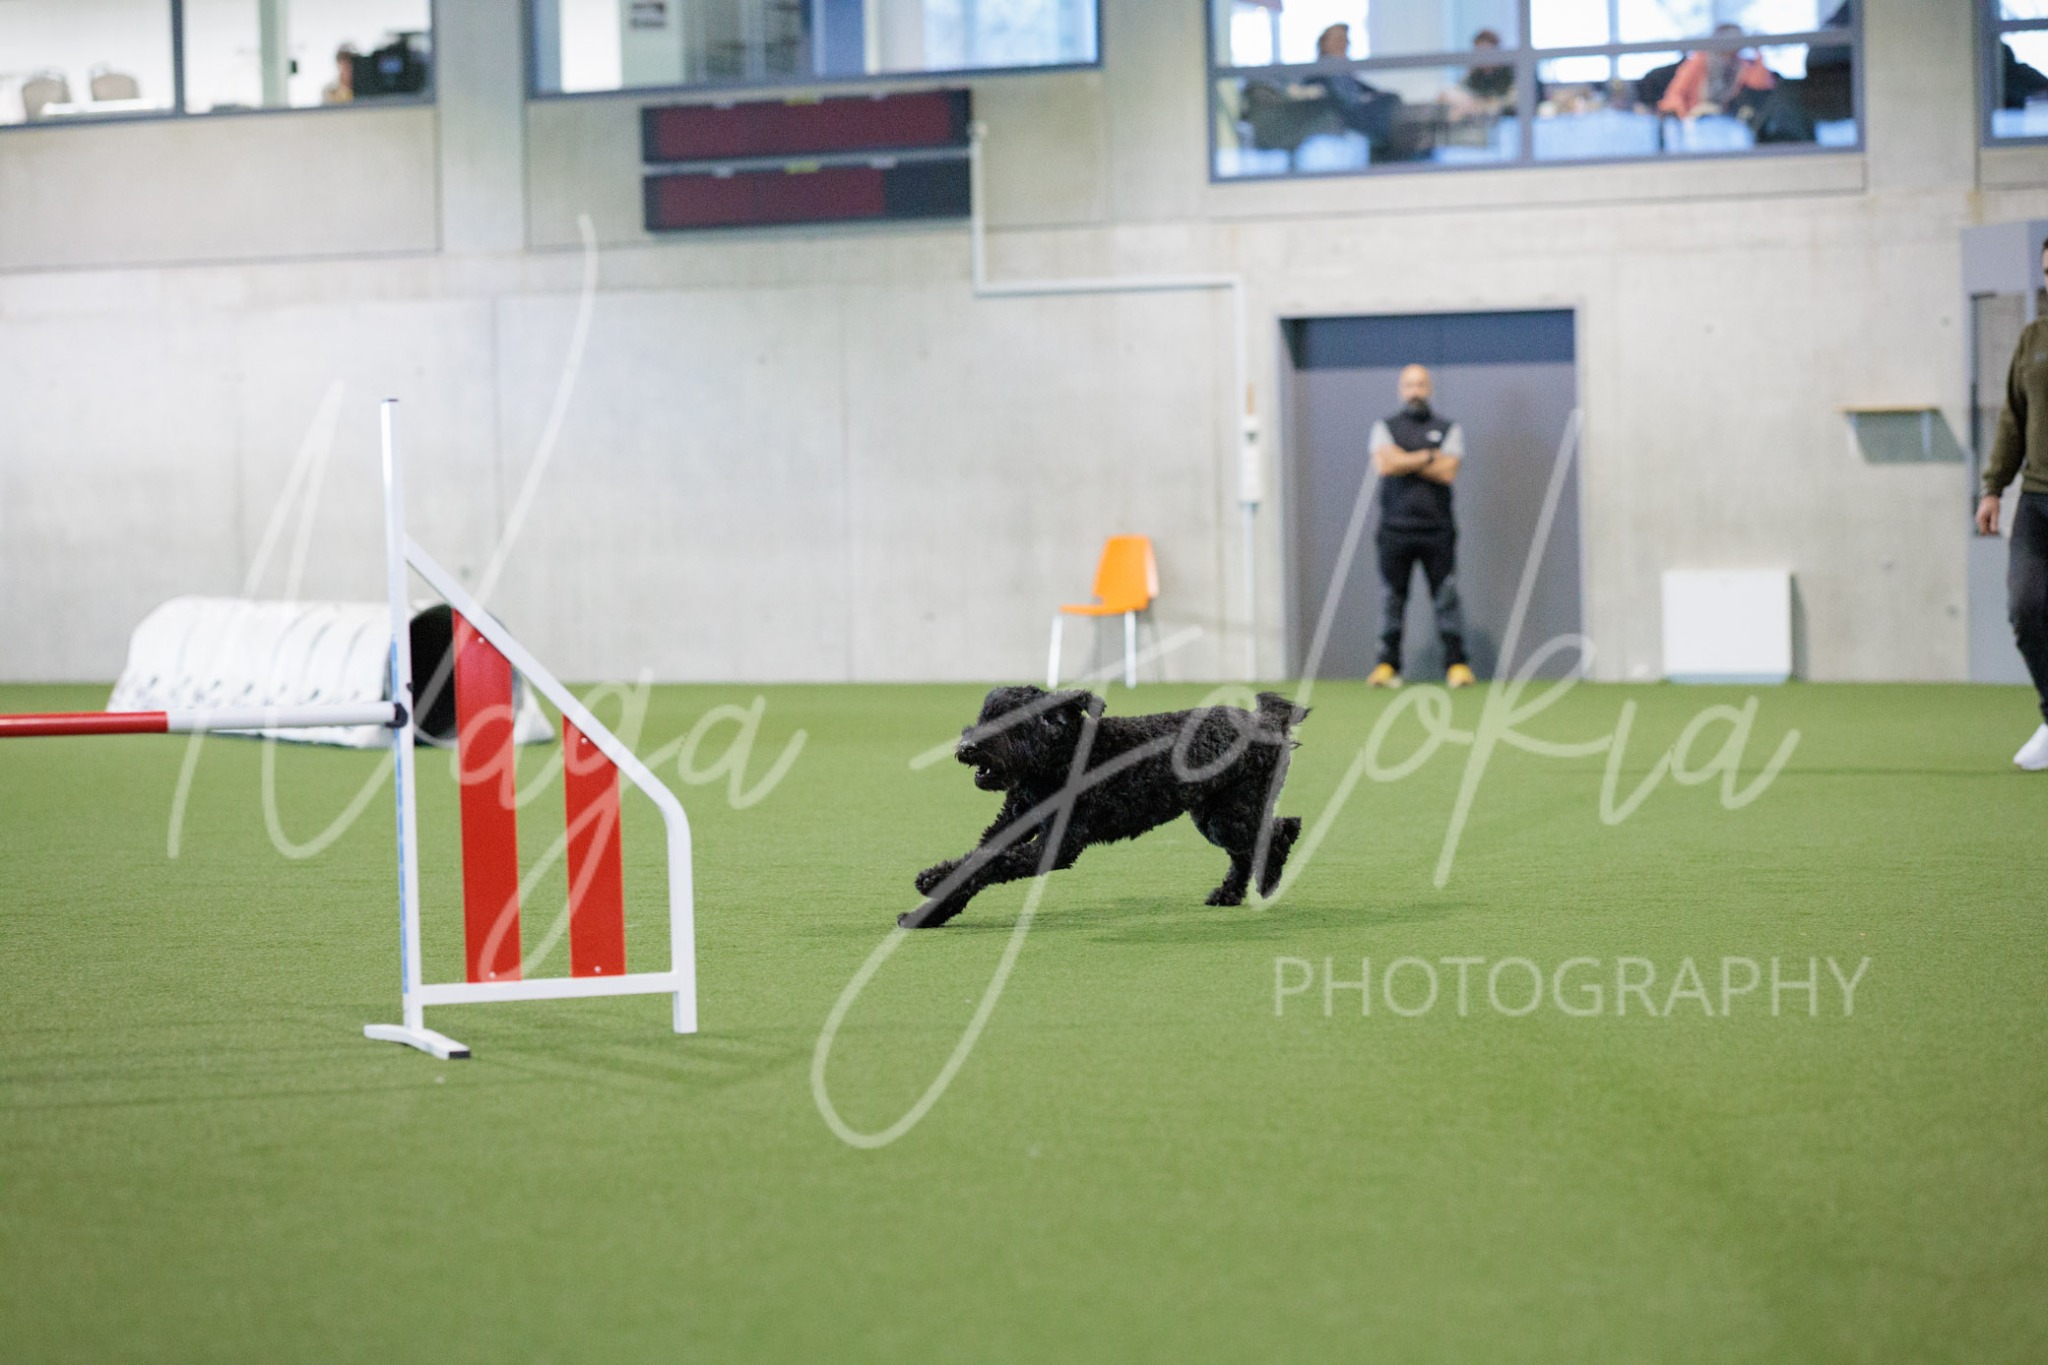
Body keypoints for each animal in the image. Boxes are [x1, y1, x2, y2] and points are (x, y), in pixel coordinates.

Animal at [903, 685, 1307, 927]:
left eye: (1013, 722)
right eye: (984, 715)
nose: (968, 747)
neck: (1061, 760)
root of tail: (1266, 721)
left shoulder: (1055, 846)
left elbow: (991, 864)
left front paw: (930, 894)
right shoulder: (1012, 822)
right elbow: (974, 861)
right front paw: (931, 898)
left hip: (1231, 814)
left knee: (1280, 831)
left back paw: (1269, 879)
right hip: (1212, 815)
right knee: (1249, 849)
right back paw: (1228, 894)